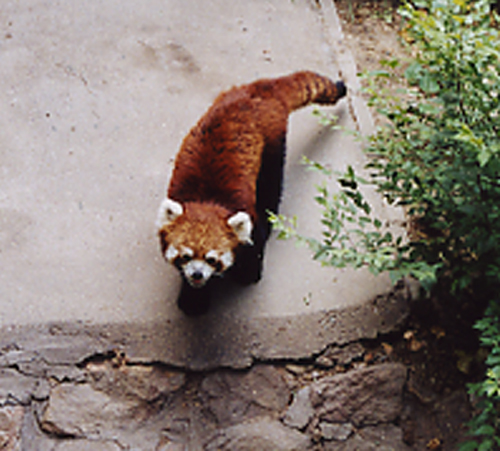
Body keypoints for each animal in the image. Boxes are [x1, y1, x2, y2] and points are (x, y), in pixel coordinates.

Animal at [158, 71, 346, 318]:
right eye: (186, 256)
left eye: (212, 259)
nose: (197, 274)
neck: (206, 200)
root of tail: (260, 88)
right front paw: (192, 299)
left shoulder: (244, 208)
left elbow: (255, 240)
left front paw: (248, 274)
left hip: (271, 145)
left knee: (270, 186)